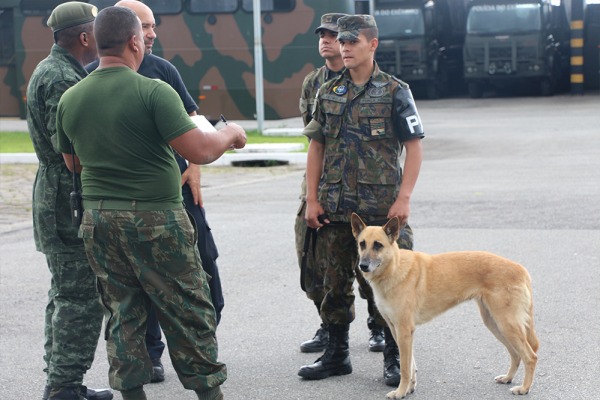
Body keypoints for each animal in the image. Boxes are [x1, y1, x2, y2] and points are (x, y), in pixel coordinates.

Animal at [352, 212, 540, 396]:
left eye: (378, 245)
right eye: (362, 244)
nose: (362, 266)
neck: (395, 268)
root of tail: (520, 269)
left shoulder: (404, 330)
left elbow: (405, 367)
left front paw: (400, 392)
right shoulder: (396, 329)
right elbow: (411, 365)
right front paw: (410, 388)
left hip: (506, 324)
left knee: (530, 356)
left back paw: (524, 388)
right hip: (495, 324)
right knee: (516, 354)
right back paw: (507, 378)